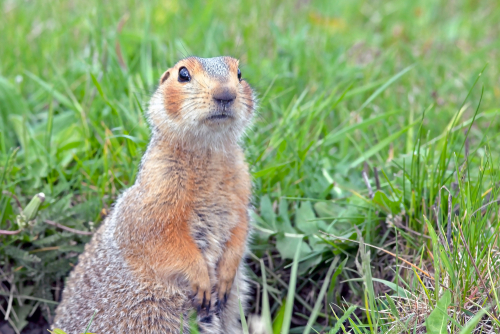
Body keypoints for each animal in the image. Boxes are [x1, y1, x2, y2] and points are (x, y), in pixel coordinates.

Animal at [52, 56, 256, 332]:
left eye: (240, 73)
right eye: (183, 74)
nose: (225, 93)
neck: (208, 152)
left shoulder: (241, 187)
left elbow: (241, 228)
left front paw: (226, 275)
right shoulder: (157, 189)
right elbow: (160, 238)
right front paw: (201, 279)